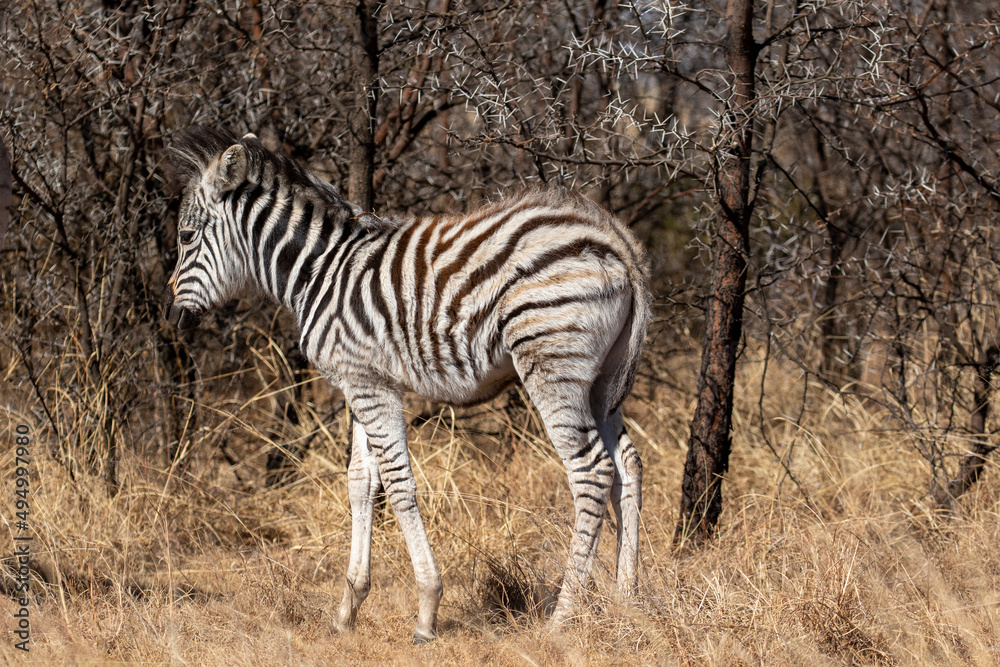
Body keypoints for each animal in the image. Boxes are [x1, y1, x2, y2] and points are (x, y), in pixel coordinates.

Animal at [164, 126, 651, 642]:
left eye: (186, 236)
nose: (173, 318)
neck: (318, 271)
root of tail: (613, 238)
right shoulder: (363, 380)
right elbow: (360, 481)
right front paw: (348, 608)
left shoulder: (366, 384)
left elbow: (397, 483)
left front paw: (427, 611)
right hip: (600, 381)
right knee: (627, 464)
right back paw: (627, 599)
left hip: (552, 363)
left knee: (591, 470)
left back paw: (563, 615)